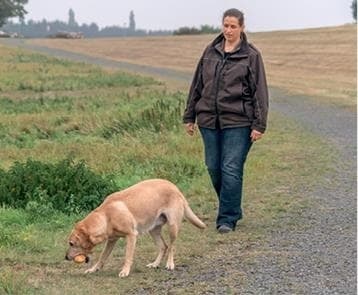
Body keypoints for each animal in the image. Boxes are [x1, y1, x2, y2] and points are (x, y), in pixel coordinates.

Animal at [64, 179, 204, 278]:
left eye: (71, 243)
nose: (65, 257)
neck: (106, 216)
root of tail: (175, 187)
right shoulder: (111, 240)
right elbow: (102, 257)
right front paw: (94, 269)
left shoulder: (131, 235)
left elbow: (128, 256)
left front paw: (125, 271)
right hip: (153, 230)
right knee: (163, 246)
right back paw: (155, 264)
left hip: (172, 227)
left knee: (171, 247)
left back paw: (170, 264)